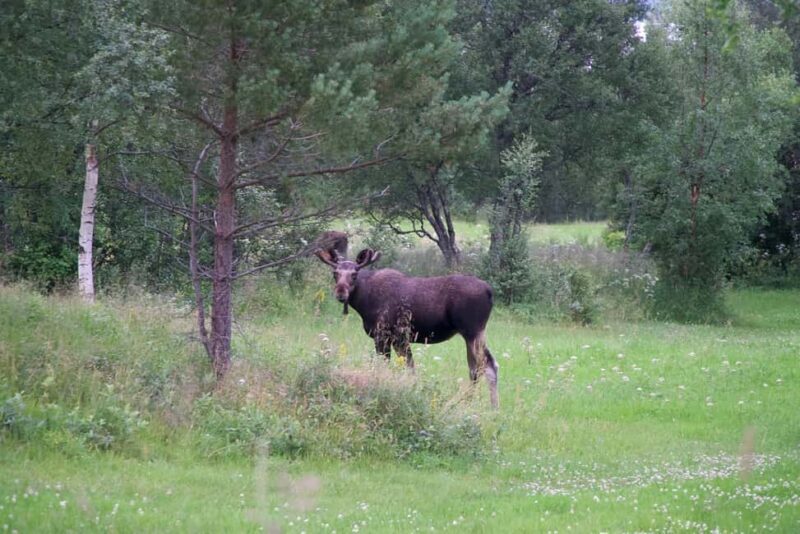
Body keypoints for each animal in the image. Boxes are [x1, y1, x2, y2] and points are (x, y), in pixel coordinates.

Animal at [315, 239, 499, 408]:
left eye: (354, 274)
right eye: (335, 273)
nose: (341, 293)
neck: (363, 301)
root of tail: (489, 291)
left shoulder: (383, 335)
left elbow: (386, 367)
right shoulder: (399, 339)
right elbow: (409, 369)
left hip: (472, 331)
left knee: (483, 366)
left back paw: (480, 406)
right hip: (474, 334)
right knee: (483, 366)